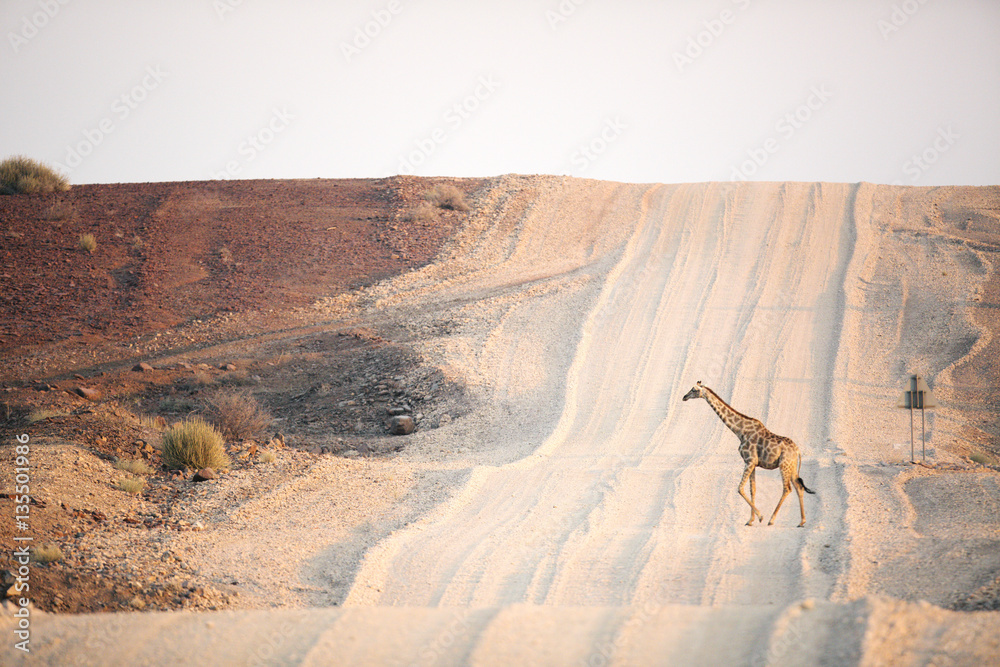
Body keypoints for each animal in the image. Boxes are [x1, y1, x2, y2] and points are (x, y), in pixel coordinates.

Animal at [682, 381, 815, 527]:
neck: (740, 431)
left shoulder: (750, 460)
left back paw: (771, 519)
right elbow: (753, 489)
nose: (684, 397)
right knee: (799, 487)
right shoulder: (753, 463)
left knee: (787, 488)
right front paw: (750, 520)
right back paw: (802, 521)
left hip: (784, 465)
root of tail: (798, 451)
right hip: (792, 467)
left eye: (694, 390)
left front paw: (760, 516)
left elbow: (740, 488)